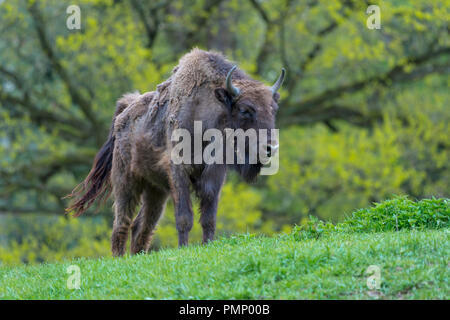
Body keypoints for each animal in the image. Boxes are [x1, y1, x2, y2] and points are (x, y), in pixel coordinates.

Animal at [67, 48, 284, 256]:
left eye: (273, 109)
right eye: (245, 110)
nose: (270, 147)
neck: (204, 113)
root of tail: (124, 113)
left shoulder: (214, 175)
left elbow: (208, 217)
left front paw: (207, 244)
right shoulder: (178, 171)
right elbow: (184, 217)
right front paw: (183, 248)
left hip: (155, 191)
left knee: (142, 226)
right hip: (126, 182)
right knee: (122, 223)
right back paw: (119, 258)